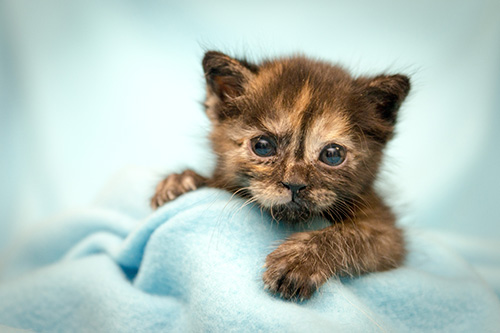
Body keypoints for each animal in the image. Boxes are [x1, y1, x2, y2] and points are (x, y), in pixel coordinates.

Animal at [150, 50, 408, 300]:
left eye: (332, 154)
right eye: (263, 146)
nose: (294, 184)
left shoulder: (387, 233)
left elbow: (351, 235)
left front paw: (299, 262)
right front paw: (181, 181)